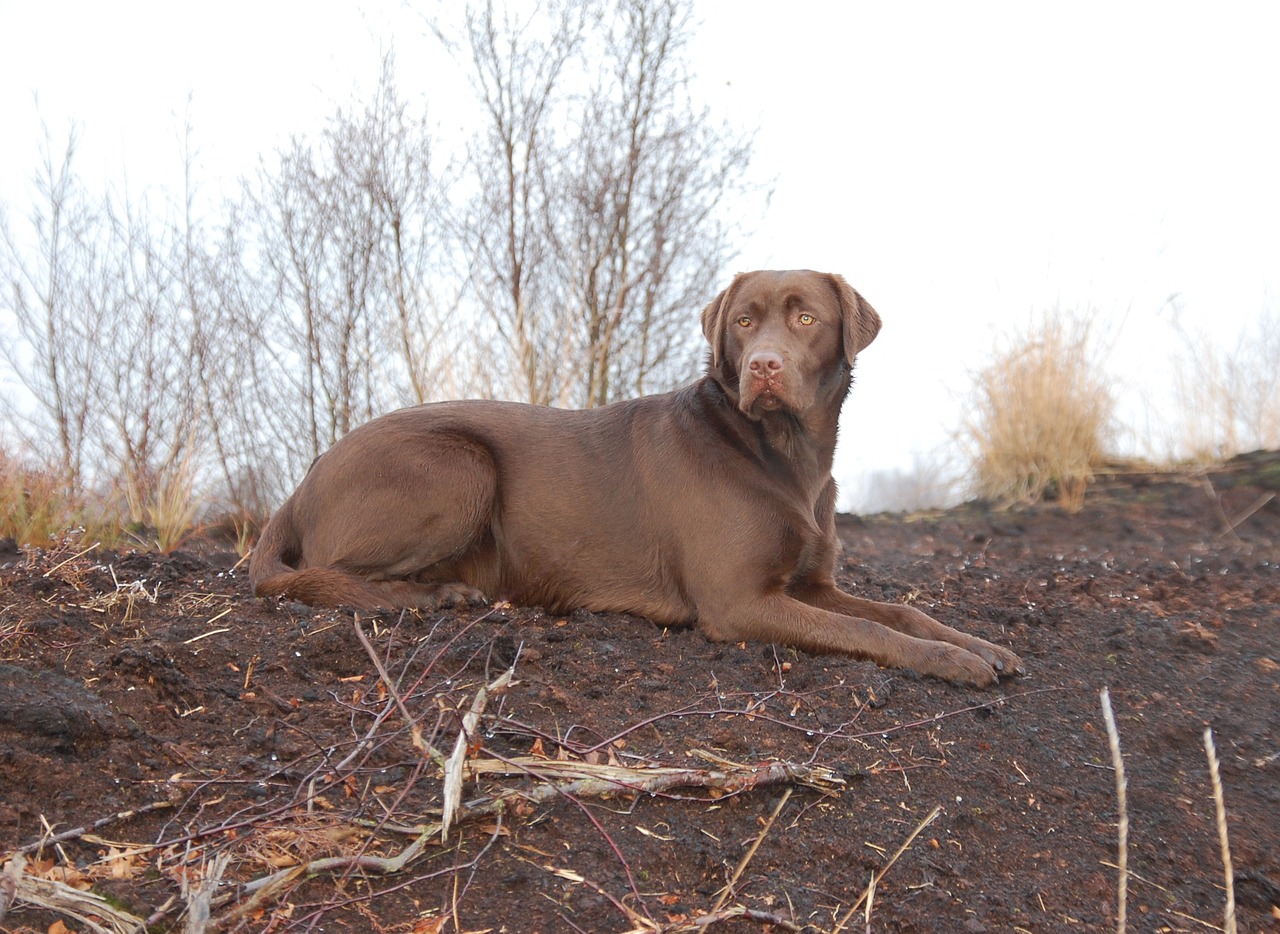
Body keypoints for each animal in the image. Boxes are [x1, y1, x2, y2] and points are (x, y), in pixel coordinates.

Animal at [254, 268, 1024, 685]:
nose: (763, 366)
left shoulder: (810, 582)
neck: (785, 457)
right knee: (315, 577)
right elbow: (870, 631)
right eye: (744, 322)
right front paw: (949, 662)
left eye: (806, 318)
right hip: (457, 467)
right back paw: (430, 597)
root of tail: (304, 478)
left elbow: (901, 612)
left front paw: (982, 646)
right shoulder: (737, 601)